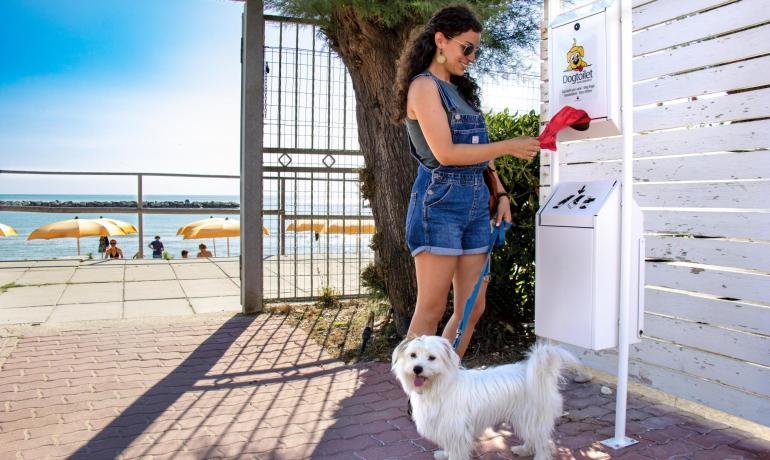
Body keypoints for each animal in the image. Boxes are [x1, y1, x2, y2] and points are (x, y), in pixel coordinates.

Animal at [392, 334, 572, 460]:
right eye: (413, 355)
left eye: (432, 358)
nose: (417, 369)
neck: (440, 386)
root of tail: (540, 372)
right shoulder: (448, 429)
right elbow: (449, 447)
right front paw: (444, 454)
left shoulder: (456, 430)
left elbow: (456, 451)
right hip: (525, 418)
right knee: (533, 438)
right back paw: (524, 449)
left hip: (531, 416)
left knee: (543, 443)